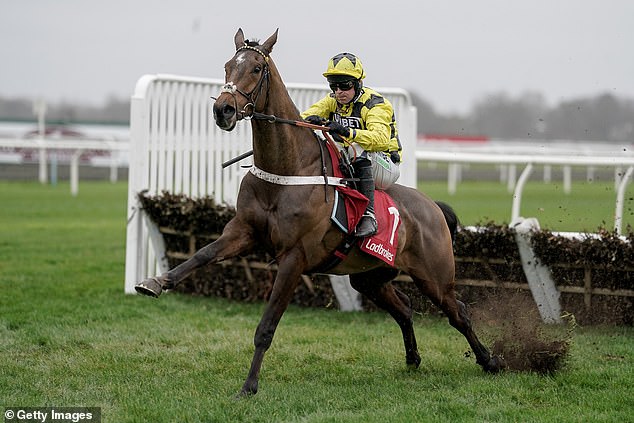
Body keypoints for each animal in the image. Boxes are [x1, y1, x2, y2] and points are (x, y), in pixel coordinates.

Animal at [135, 29, 504, 398]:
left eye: (256, 68)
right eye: (228, 66)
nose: (222, 109)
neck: (287, 168)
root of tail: (433, 207)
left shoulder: (294, 257)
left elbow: (266, 326)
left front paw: (249, 386)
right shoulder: (243, 231)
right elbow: (201, 255)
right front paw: (154, 282)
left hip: (434, 276)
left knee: (459, 313)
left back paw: (490, 361)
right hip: (369, 276)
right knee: (403, 308)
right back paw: (413, 359)